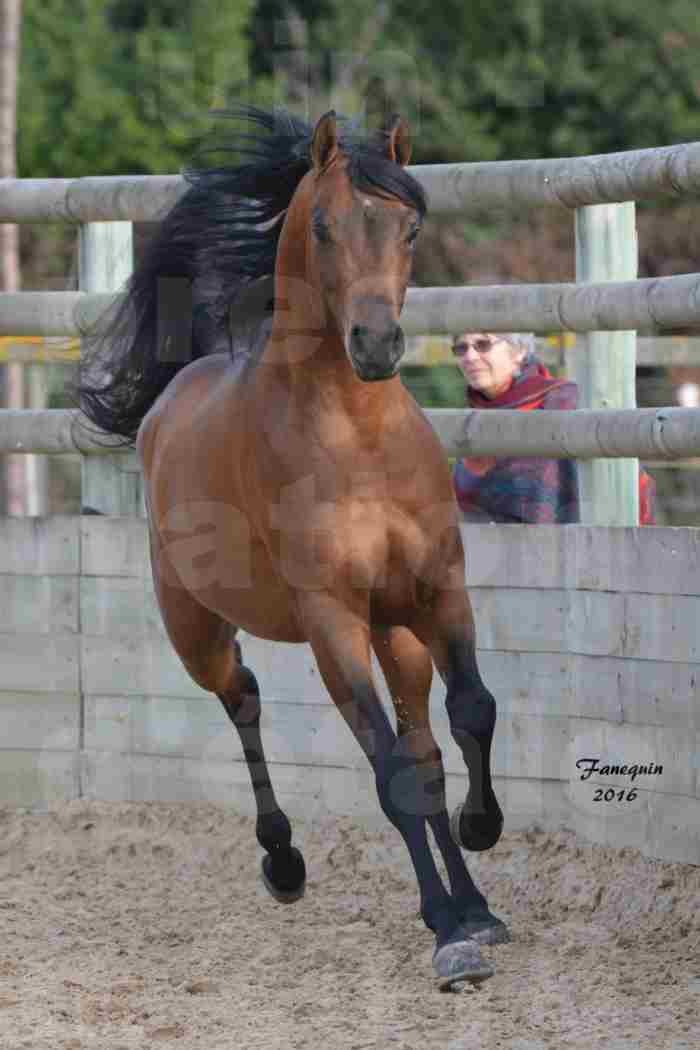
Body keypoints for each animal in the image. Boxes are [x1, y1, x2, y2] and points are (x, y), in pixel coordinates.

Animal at [79, 104, 510, 982]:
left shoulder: (437, 592)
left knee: (425, 744)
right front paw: (448, 932)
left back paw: (467, 897)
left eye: (411, 226)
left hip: (396, 632)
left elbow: (471, 714)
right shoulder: (330, 621)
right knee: (242, 696)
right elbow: (387, 771)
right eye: (322, 225)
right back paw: (284, 862)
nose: (375, 345)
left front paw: (479, 866)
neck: (359, 439)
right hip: (196, 630)